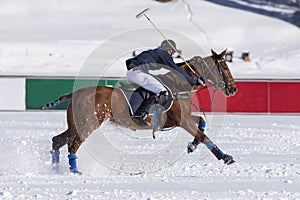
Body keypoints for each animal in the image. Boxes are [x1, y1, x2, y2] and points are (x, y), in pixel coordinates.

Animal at [46, 48, 237, 173]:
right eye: (224, 67)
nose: (233, 89)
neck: (179, 85)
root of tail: (75, 93)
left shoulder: (181, 119)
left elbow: (202, 123)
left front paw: (192, 146)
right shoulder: (182, 120)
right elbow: (204, 137)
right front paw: (226, 158)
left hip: (76, 123)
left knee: (57, 140)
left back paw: (56, 169)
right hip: (89, 123)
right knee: (73, 144)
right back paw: (74, 171)